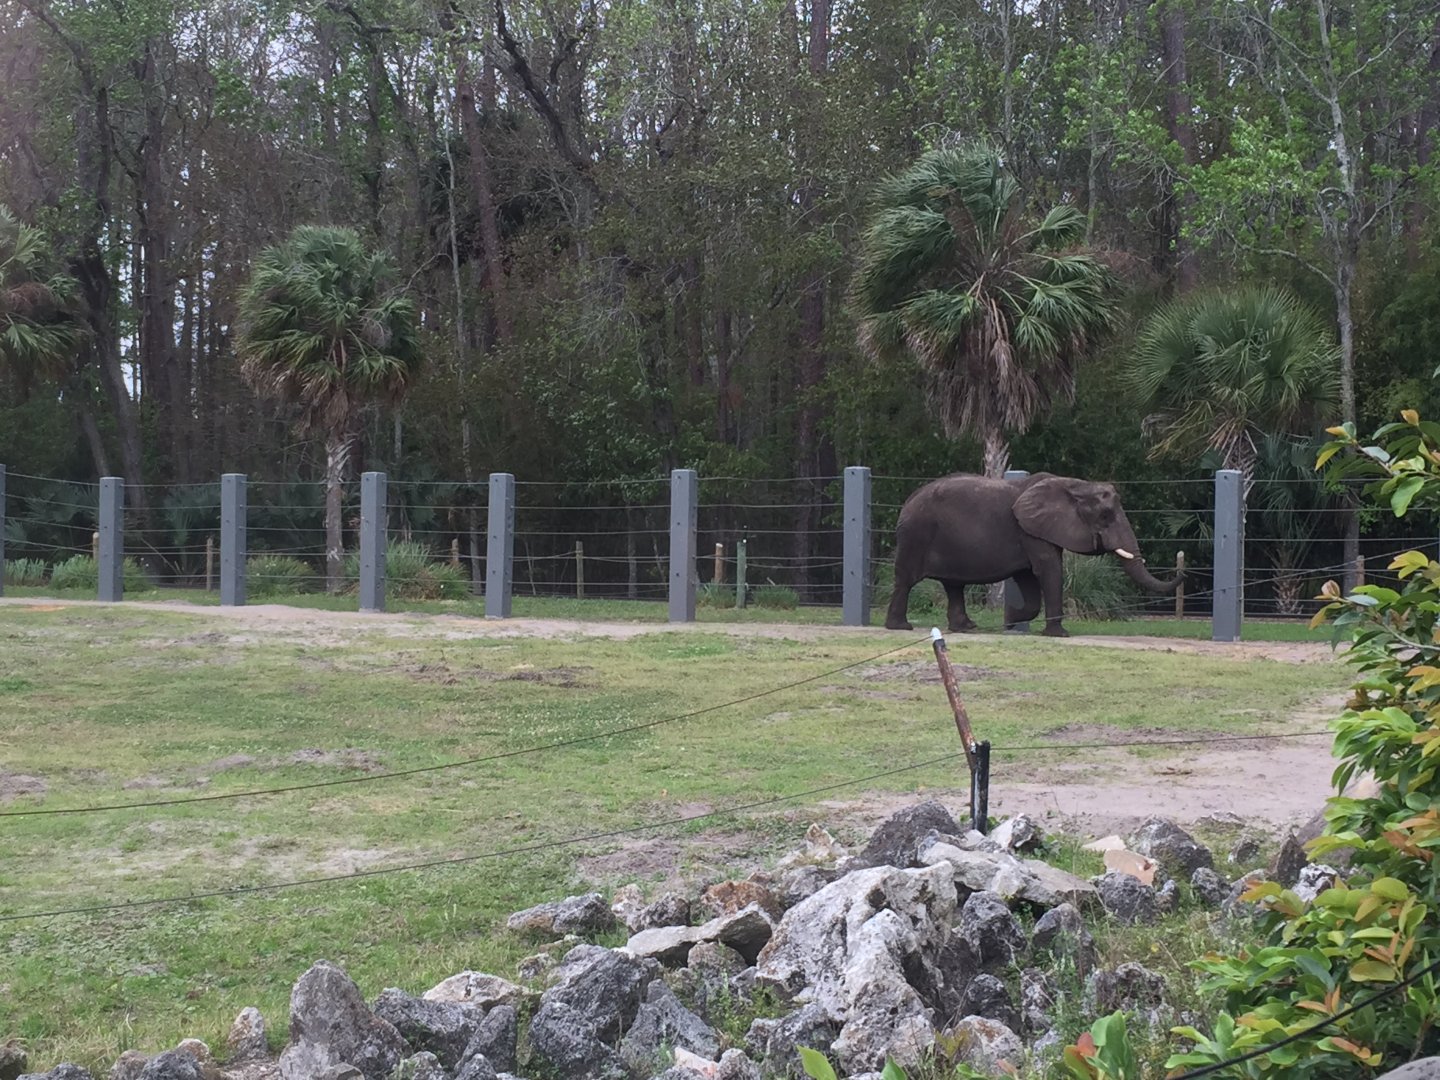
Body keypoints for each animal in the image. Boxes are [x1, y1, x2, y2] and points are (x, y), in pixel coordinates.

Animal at [883, 472, 1183, 637]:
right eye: (1106, 516)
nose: (1183, 571)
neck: (1074, 484)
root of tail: (908, 500)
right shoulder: (1030, 531)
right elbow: (1049, 570)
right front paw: (1059, 635)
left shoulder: (1034, 531)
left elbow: (1029, 578)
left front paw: (1009, 621)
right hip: (916, 534)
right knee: (906, 580)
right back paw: (900, 627)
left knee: (953, 585)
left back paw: (967, 627)